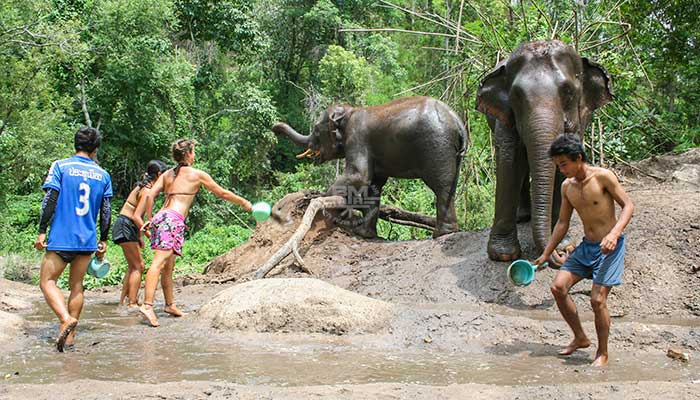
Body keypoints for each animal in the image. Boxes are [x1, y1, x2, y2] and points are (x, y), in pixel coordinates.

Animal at [272, 96, 464, 238]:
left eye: (317, 130)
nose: (274, 128)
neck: (350, 111)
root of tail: (457, 121)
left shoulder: (357, 137)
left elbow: (359, 175)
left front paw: (328, 203)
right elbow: (374, 185)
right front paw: (364, 234)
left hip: (436, 147)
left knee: (441, 186)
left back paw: (440, 234)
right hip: (452, 153)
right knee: (451, 186)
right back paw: (448, 231)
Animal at [476, 40, 612, 264]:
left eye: (568, 92)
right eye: (517, 96)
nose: (560, 256)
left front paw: (564, 243)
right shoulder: (505, 118)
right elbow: (510, 160)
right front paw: (503, 254)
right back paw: (522, 217)